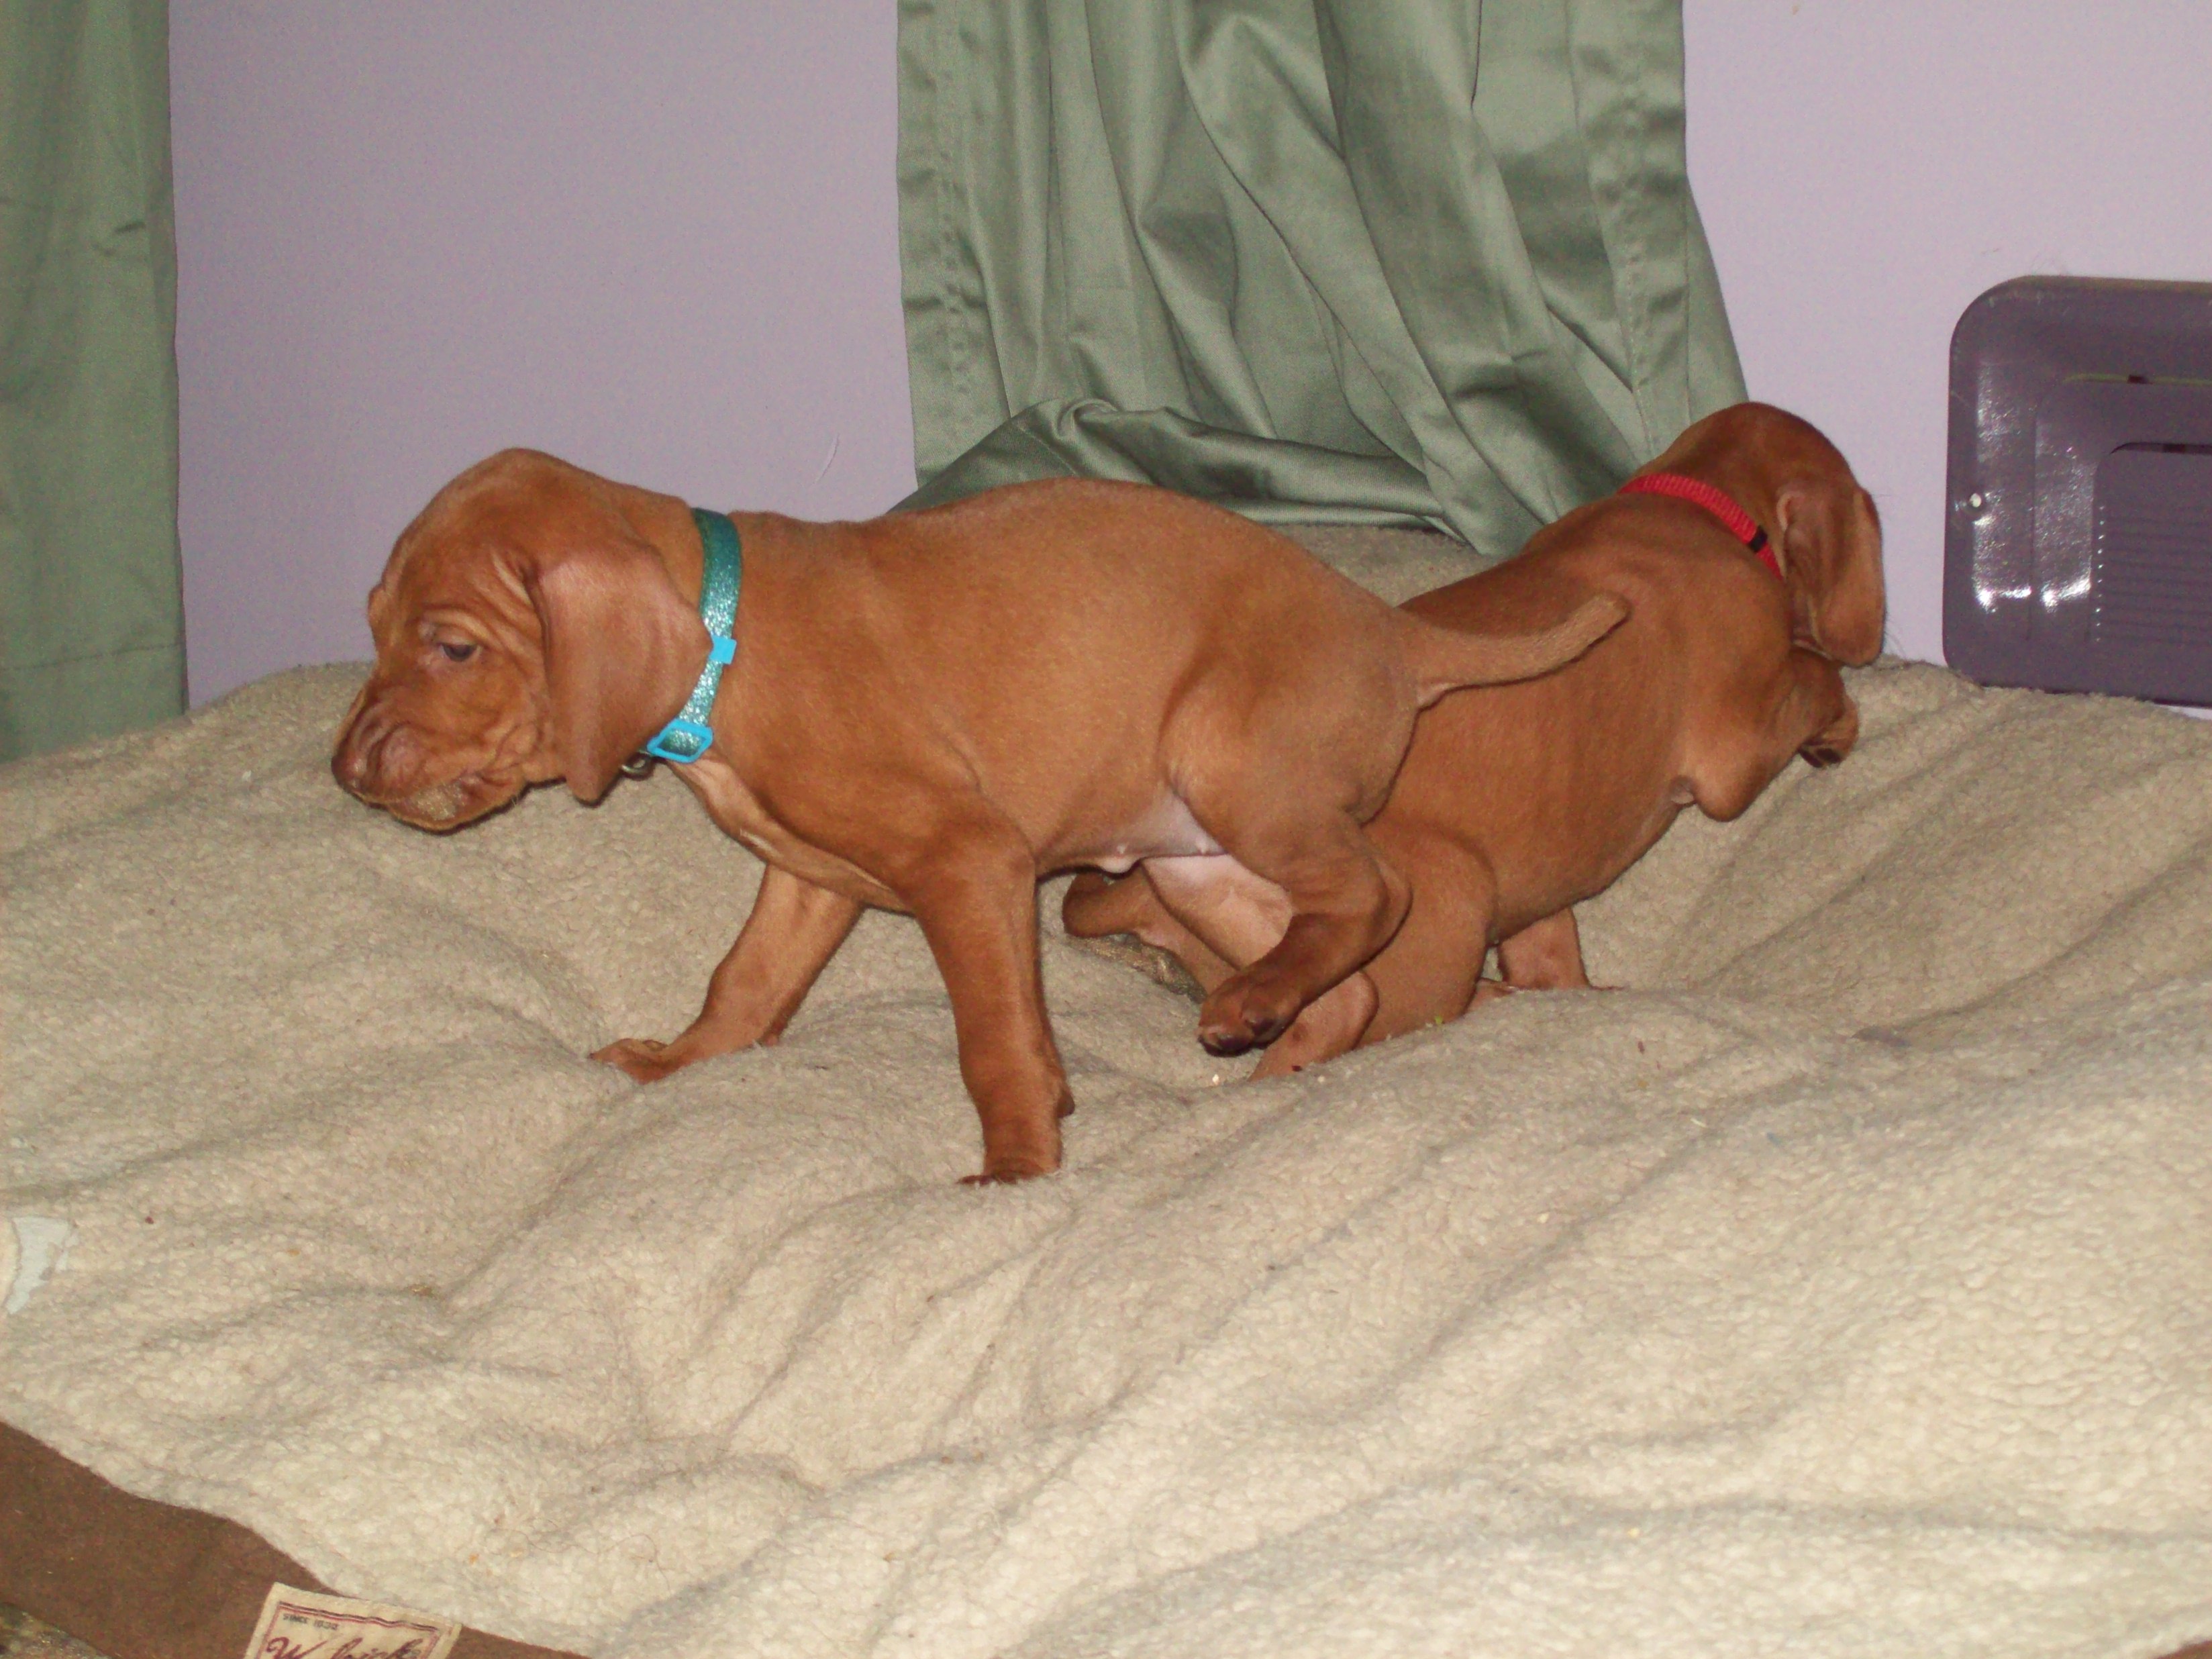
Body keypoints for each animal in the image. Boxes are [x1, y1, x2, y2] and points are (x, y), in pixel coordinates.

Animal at [331, 456, 1626, 1179]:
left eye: (454, 647)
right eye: (375, 621)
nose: (340, 770)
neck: (725, 647)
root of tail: (1394, 629)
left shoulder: (967, 860)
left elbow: (995, 1040)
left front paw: (1017, 1169)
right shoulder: (813, 880)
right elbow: (744, 982)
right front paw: (678, 1063)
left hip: (1229, 763)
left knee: (1377, 891)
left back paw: (1246, 1011)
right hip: (1198, 856)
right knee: (1347, 974)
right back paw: (1271, 1051)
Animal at [1062, 402, 1884, 1075]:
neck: (1696, 505)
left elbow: (1550, 952)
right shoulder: (1731, 761)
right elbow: (1814, 674)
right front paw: (1836, 725)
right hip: (1448, 901)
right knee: (1375, 1016)